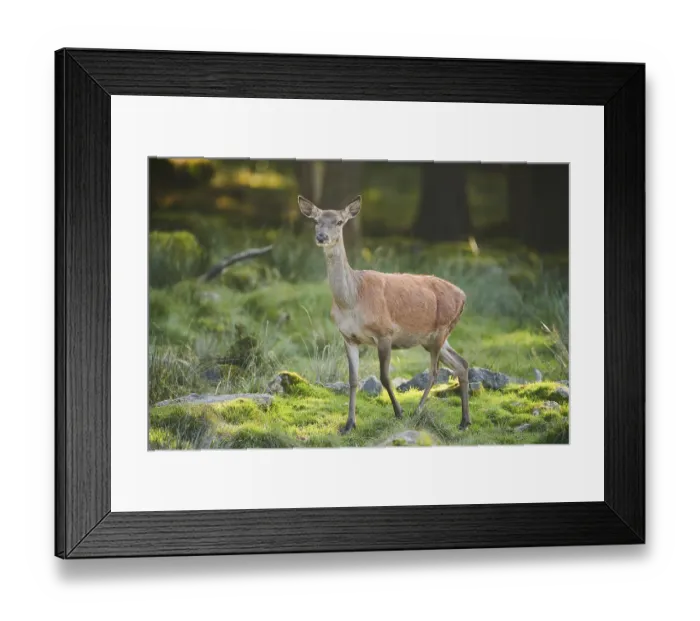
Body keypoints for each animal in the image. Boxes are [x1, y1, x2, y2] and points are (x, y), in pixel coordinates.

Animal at [298, 194, 471, 435]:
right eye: (316, 221)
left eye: (340, 222)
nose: (322, 237)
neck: (352, 300)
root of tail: (463, 296)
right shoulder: (348, 337)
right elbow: (353, 380)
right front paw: (349, 424)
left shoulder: (385, 333)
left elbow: (385, 377)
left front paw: (399, 412)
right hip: (433, 338)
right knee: (461, 364)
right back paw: (464, 421)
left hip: (441, 330)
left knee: (435, 371)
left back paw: (418, 410)